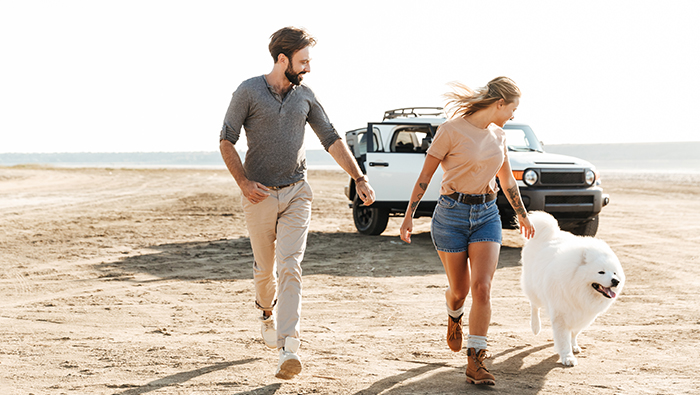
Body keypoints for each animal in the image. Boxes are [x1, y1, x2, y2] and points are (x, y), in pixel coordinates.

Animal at [520, 212, 624, 366]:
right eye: (601, 272)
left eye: (615, 273)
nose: (616, 281)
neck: (577, 288)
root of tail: (551, 233)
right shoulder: (561, 314)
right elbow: (563, 338)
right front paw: (567, 357)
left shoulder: (583, 315)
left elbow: (574, 333)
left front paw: (573, 346)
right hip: (534, 288)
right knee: (534, 306)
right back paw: (535, 327)